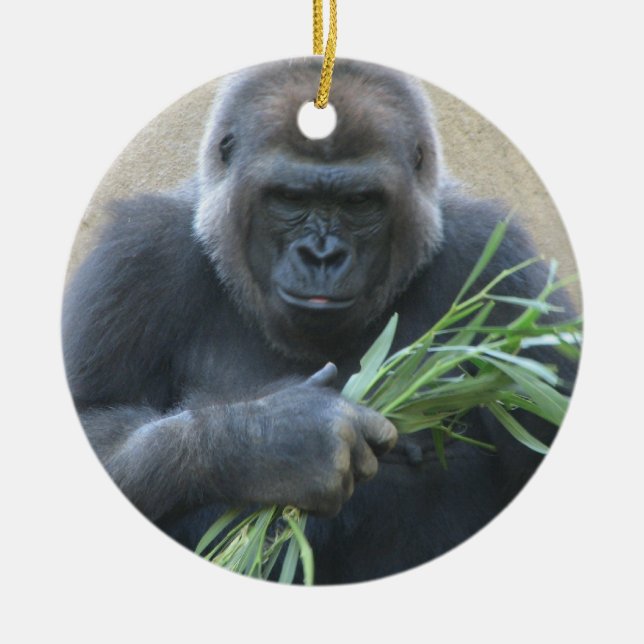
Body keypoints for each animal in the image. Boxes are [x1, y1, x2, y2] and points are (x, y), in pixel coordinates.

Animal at [63, 58, 577, 584]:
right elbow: (94, 418)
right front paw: (277, 444)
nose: (322, 255)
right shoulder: (137, 256)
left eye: (359, 202)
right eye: (290, 197)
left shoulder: (501, 265)